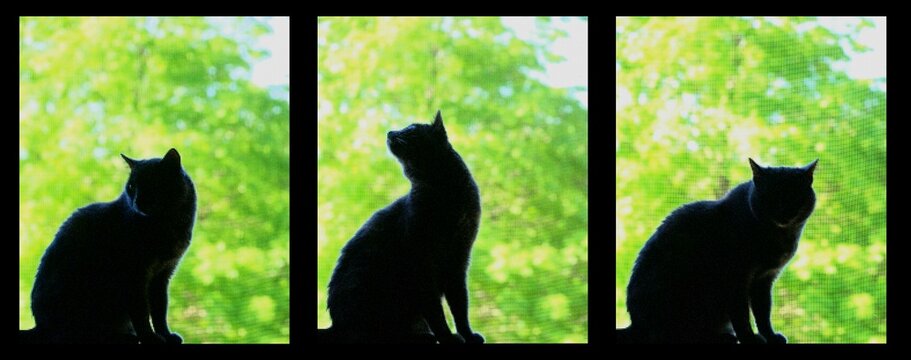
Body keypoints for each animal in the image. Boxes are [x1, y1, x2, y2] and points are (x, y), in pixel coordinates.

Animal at [20, 148, 196, 344]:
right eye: (132, 187)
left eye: (152, 184)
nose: (137, 201)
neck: (168, 225)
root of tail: (39, 327)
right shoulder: (134, 276)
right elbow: (141, 313)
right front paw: (150, 338)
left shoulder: (162, 276)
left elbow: (160, 311)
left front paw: (166, 335)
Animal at [322, 109, 484, 344]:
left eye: (411, 129)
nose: (390, 131)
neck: (444, 196)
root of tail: (335, 326)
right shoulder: (421, 264)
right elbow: (436, 311)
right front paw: (447, 338)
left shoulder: (458, 261)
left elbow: (460, 306)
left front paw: (468, 335)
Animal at [620, 158, 820, 344]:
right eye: (771, 197)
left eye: (795, 196)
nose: (784, 212)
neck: (780, 236)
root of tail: (635, 325)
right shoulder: (735, 279)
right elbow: (741, 315)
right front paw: (749, 338)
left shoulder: (764, 280)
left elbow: (763, 314)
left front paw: (770, 336)